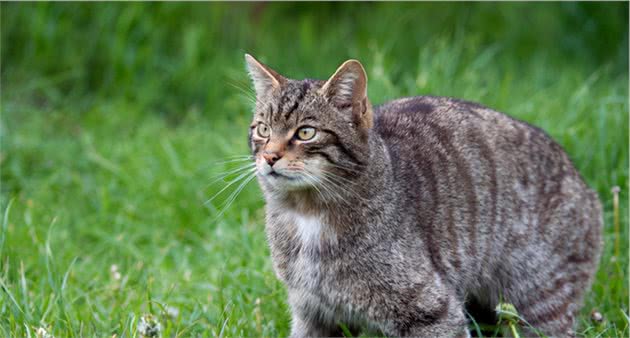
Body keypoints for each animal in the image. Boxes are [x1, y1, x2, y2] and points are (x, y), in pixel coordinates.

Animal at [244, 54, 604, 336]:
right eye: (263, 129)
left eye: (306, 132)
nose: (270, 157)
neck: (306, 214)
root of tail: (588, 190)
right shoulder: (313, 313)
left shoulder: (432, 311)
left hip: (540, 299)